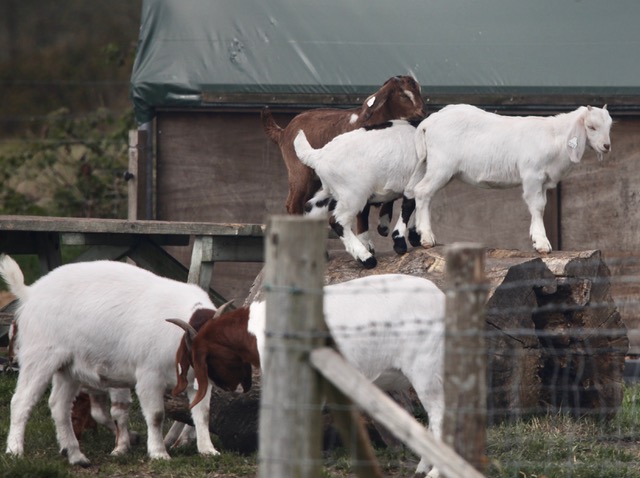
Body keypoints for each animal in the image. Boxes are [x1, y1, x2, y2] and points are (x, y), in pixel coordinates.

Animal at [0, 255, 228, 466]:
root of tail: (30, 293)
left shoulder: (197, 381)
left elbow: (202, 413)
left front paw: (208, 450)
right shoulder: (148, 377)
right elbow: (155, 415)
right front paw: (158, 453)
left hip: (68, 369)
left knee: (59, 406)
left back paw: (76, 455)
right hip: (39, 356)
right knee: (21, 401)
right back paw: (15, 450)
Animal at [262, 75, 425, 252]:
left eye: (419, 90)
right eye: (403, 95)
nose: (422, 113)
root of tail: (283, 132)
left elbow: (392, 195)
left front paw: (383, 225)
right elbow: (363, 211)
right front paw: (366, 244)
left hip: (314, 178)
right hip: (299, 172)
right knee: (293, 204)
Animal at [293, 120, 425, 268]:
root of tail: (319, 155)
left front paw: (413, 237)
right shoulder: (416, 182)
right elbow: (409, 206)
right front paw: (401, 243)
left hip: (332, 191)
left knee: (310, 207)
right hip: (353, 194)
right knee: (337, 221)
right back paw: (366, 258)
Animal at [413, 104, 613, 253]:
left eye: (609, 127)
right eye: (591, 127)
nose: (606, 146)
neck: (554, 137)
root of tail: (430, 121)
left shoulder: (543, 181)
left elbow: (541, 205)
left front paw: (534, 236)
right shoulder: (532, 175)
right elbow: (537, 206)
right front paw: (542, 243)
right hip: (441, 166)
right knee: (422, 191)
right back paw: (427, 237)